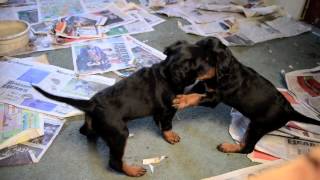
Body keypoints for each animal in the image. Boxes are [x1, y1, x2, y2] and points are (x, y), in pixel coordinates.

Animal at [33, 39, 216, 177]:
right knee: (114, 162)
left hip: (93, 123)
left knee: (86, 131)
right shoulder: (169, 109)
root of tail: (92, 104)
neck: (166, 74)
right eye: (206, 61)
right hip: (119, 134)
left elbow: (158, 119)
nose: (218, 70)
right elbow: (167, 125)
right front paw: (170, 135)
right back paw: (132, 170)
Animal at [174, 37, 320, 155]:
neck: (221, 74)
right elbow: (192, 91)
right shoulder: (202, 85)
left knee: (248, 148)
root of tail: (290, 110)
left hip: (258, 127)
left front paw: (182, 101)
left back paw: (227, 147)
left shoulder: (213, 99)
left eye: (204, 60)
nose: (181, 70)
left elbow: (195, 97)